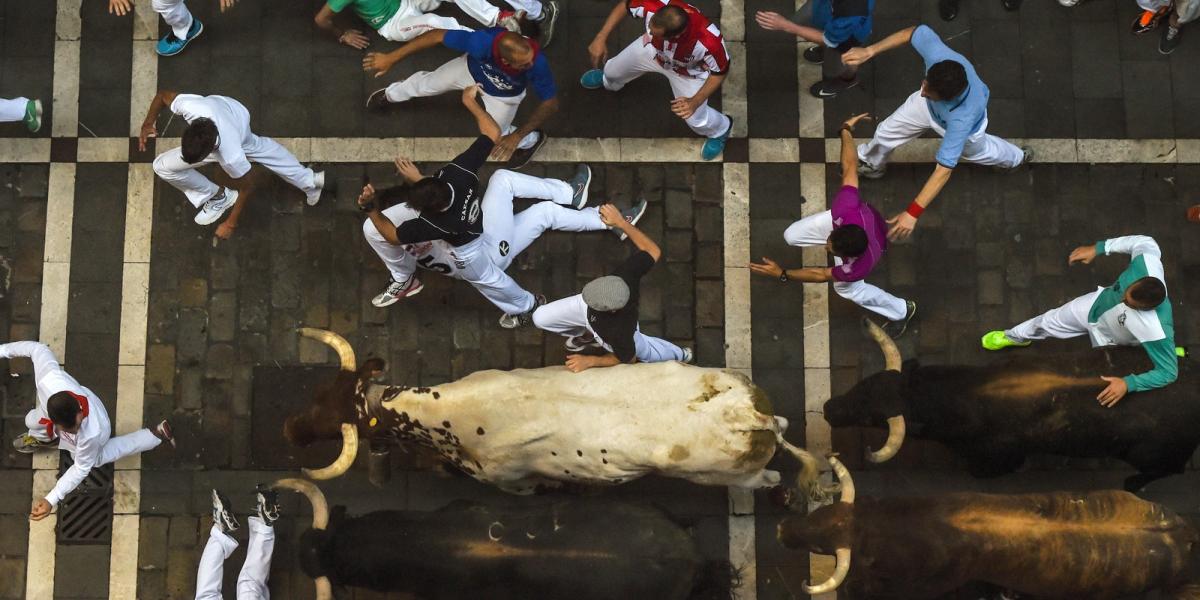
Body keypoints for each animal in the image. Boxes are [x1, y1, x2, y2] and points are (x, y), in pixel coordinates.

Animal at [291, 331, 820, 494]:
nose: (290, 429)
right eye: (320, 391)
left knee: (769, 479)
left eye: (337, 421)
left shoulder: (510, 481)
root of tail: (749, 417)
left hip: (730, 476)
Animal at [830, 331, 1195, 489]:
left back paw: (1132, 483)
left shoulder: (1002, 456)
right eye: (864, 384)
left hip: (1153, 455)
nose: (828, 406)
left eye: (874, 417)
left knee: (1168, 470)